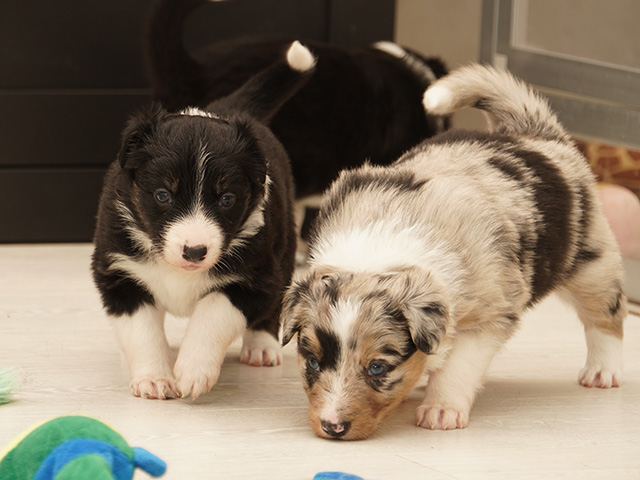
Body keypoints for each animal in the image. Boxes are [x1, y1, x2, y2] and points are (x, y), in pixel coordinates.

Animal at [92, 41, 316, 400]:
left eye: (226, 199)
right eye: (163, 195)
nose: (195, 252)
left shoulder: (251, 277)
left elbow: (213, 314)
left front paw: (194, 372)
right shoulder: (120, 274)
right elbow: (142, 331)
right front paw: (154, 379)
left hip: (281, 252)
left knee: (272, 304)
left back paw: (261, 347)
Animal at [281, 64, 628, 440]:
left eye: (377, 368)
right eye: (312, 362)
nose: (332, 427)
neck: (377, 250)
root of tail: (532, 132)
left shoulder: (489, 315)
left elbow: (458, 368)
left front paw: (441, 410)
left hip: (590, 259)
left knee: (605, 314)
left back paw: (602, 371)